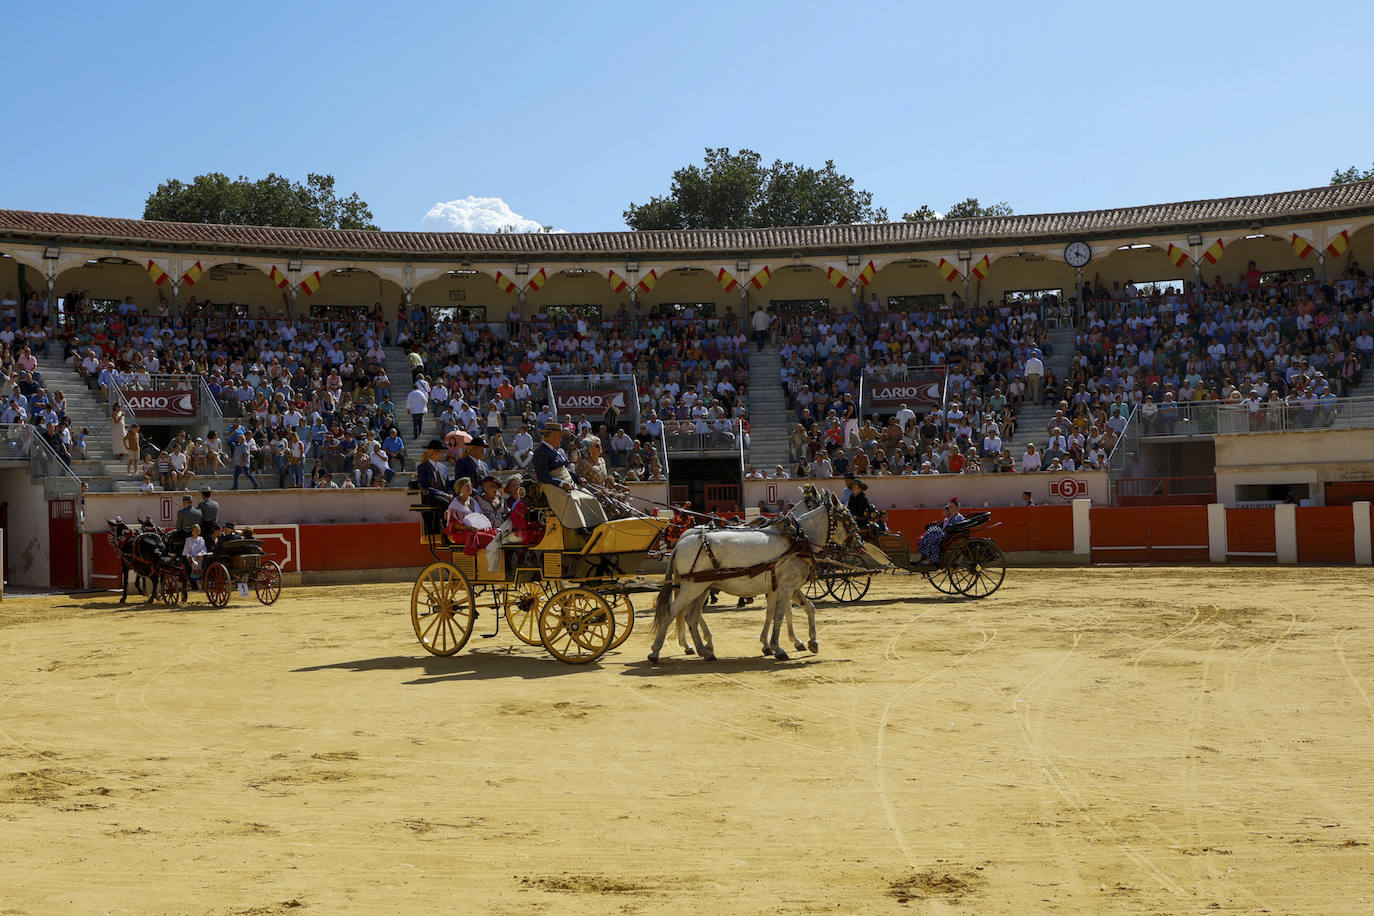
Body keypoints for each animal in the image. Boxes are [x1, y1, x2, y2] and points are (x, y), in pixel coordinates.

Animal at [645, 491, 857, 661]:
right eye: (848, 520)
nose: (860, 542)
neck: (797, 540)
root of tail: (681, 542)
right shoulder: (786, 587)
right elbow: (781, 614)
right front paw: (779, 647)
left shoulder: (779, 587)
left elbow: (799, 609)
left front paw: (806, 642)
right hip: (692, 588)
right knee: (673, 612)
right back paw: (656, 652)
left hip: (700, 588)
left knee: (691, 617)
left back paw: (703, 650)